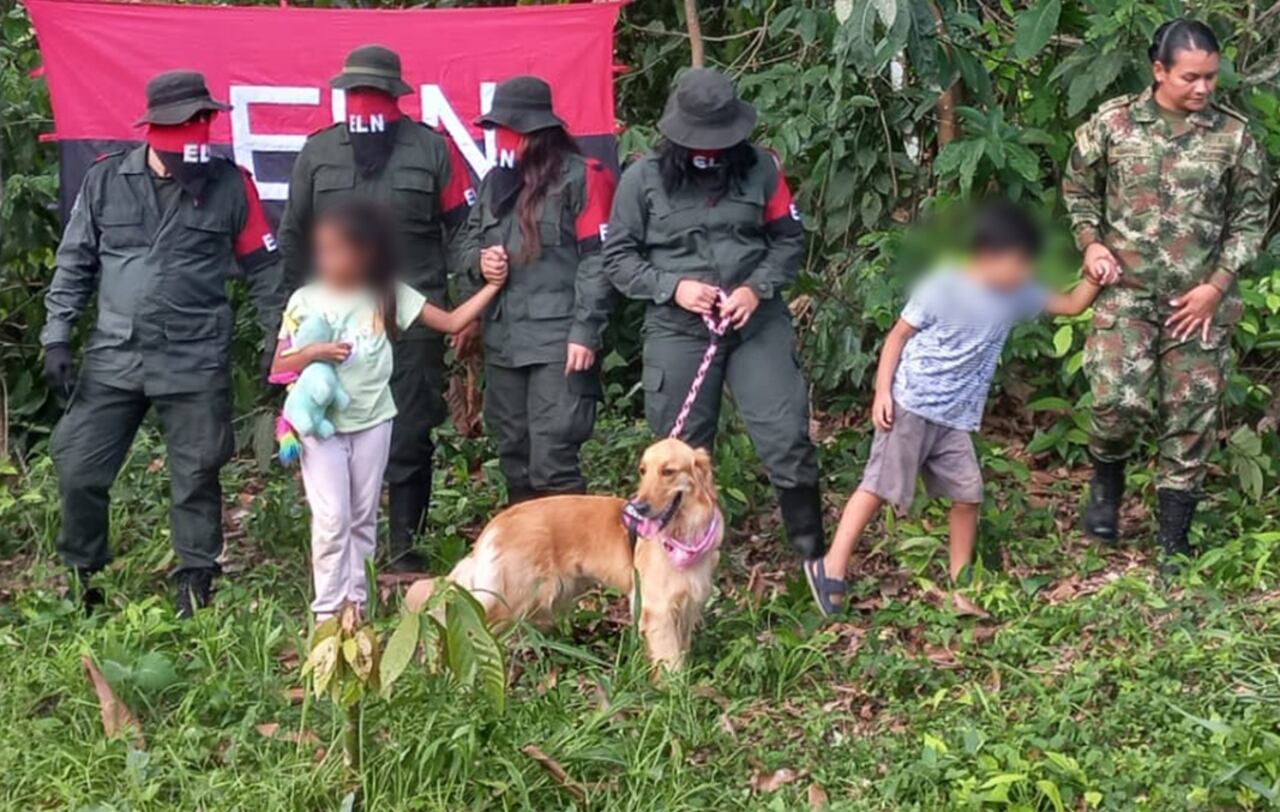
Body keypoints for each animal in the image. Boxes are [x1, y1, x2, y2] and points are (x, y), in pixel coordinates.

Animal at [404, 440, 721, 665]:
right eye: (643, 471)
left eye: (668, 471)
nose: (638, 507)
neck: (684, 534)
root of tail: (498, 523)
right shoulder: (657, 609)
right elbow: (670, 661)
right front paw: (673, 693)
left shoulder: (687, 606)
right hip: (514, 599)